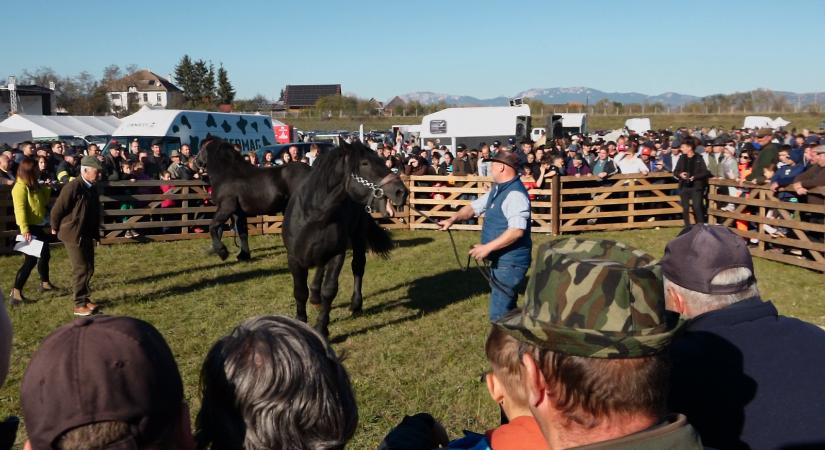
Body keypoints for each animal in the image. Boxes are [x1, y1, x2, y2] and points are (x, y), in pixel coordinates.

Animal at [284, 142, 408, 338]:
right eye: (365, 163)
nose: (401, 191)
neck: (313, 216)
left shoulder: (337, 254)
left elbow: (329, 290)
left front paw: (321, 328)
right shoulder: (294, 258)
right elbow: (300, 291)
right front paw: (301, 322)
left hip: (357, 236)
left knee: (357, 266)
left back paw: (356, 304)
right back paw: (315, 296)